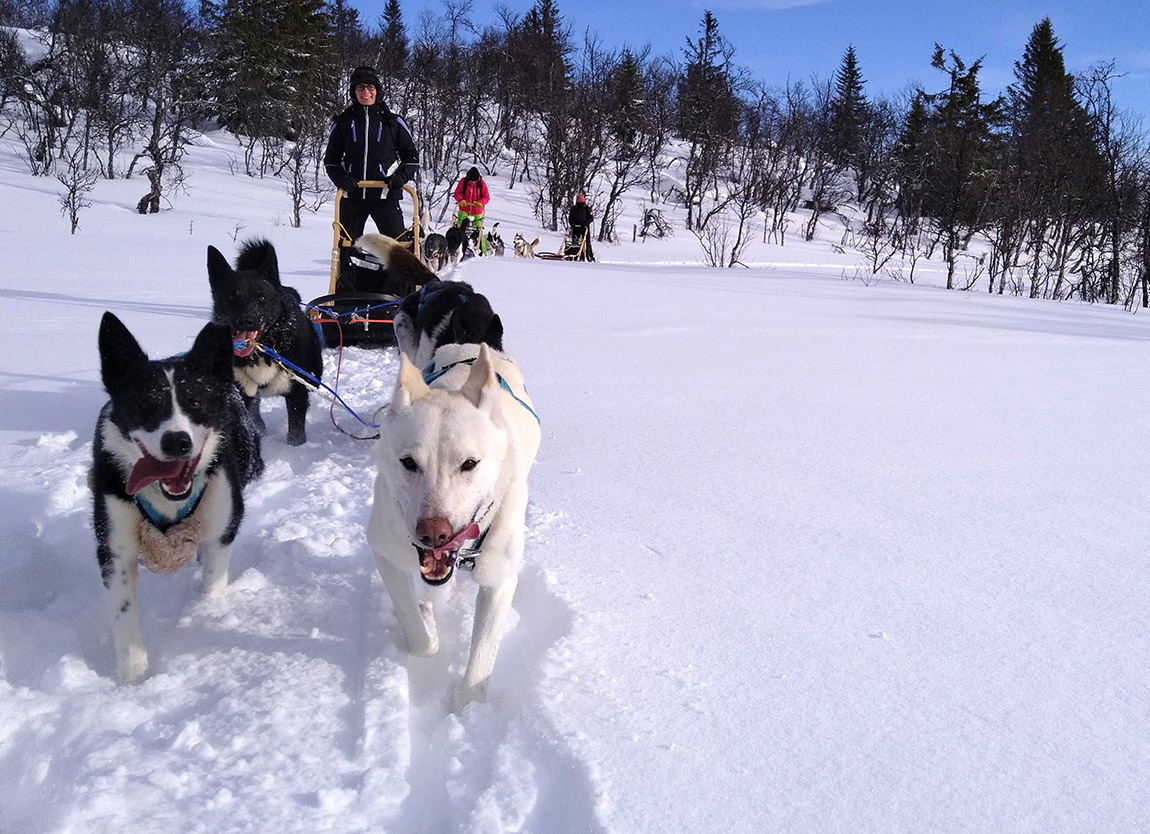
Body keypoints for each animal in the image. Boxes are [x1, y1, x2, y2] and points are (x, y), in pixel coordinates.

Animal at [89, 312, 264, 681]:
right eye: (145, 404)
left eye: (195, 401)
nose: (177, 442)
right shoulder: (115, 547)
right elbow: (124, 618)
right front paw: (133, 677)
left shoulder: (221, 526)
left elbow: (213, 579)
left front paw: (207, 611)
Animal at [205, 236, 319, 446]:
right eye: (231, 297)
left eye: (262, 297)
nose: (246, 320)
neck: (264, 349)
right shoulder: (242, 392)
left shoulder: (297, 392)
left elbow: (296, 431)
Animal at [365, 335, 540, 704]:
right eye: (408, 462)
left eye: (469, 463)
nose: (433, 534)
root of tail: (468, 345)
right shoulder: (385, 552)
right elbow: (420, 641)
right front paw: (426, 622)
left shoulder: (500, 582)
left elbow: (479, 666)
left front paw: (467, 707)